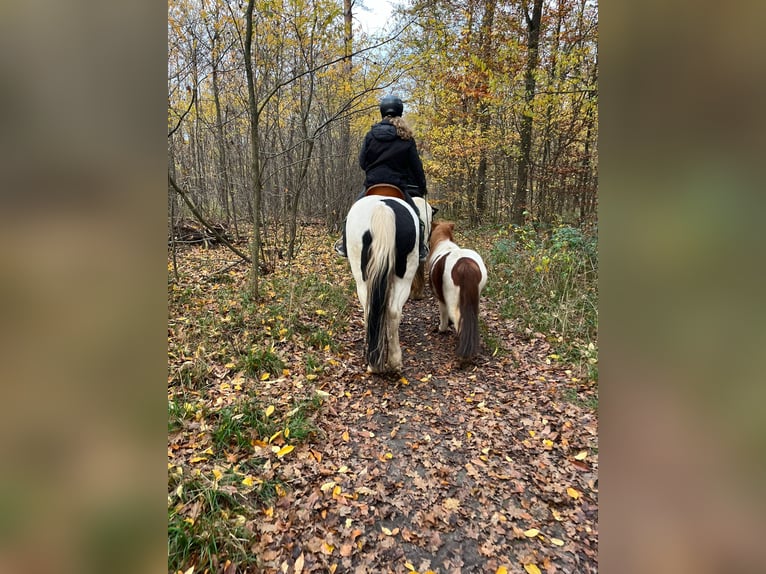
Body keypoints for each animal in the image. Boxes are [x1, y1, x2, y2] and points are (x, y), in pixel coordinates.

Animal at [345, 186, 421, 373]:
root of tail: (382, 208)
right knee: (391, 311)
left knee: (371, 308)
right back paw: (391, 362)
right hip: (402, 276)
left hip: (362, 277)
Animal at [427, 220, 488, 360]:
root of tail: (464, 265)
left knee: (458, 319)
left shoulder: (441, 298)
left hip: (452, 300)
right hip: (475, 296)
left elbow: (443, 315)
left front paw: (442, 328)